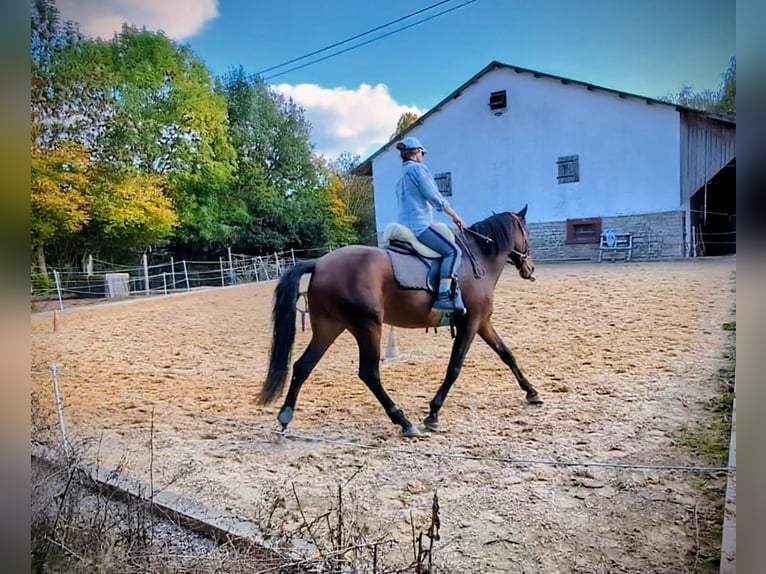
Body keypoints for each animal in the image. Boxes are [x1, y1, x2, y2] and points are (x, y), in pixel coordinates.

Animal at [257, 204, 542, 437]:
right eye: (527, 232)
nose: (530, 269)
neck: (478, 259)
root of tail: (319, 263)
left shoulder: (482, 323)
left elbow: (506, 354)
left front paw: (532, 392)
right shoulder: (470, 323)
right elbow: (454, 368)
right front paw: (433, 413)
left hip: (329, 328)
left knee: (302, 366)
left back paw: (285, 417)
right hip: (368, 327)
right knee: (369, 373)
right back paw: (403, 421)